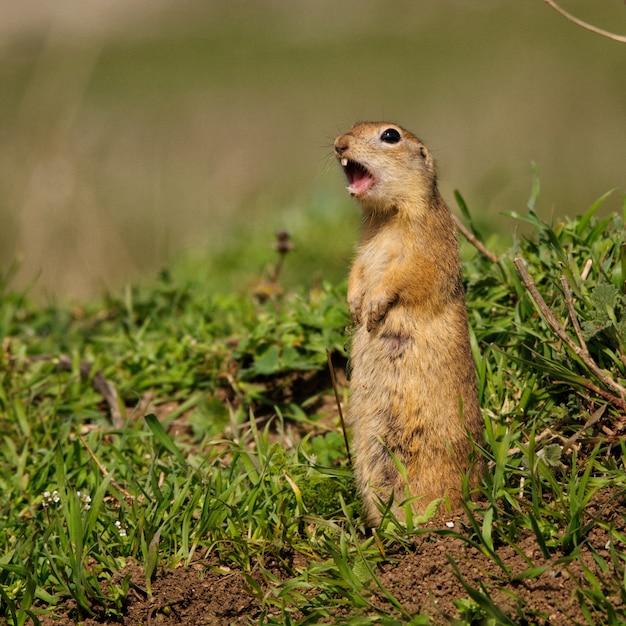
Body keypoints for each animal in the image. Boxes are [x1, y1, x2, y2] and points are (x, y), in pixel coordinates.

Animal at [334, 122, 480, 520]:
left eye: (390, 135)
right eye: (351, 127)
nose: (339, 144)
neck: (387, 215)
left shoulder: (426, 244)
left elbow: (406, 276)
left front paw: (373, 308)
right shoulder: (363, 248)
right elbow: (356, 271)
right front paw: (355, 306)